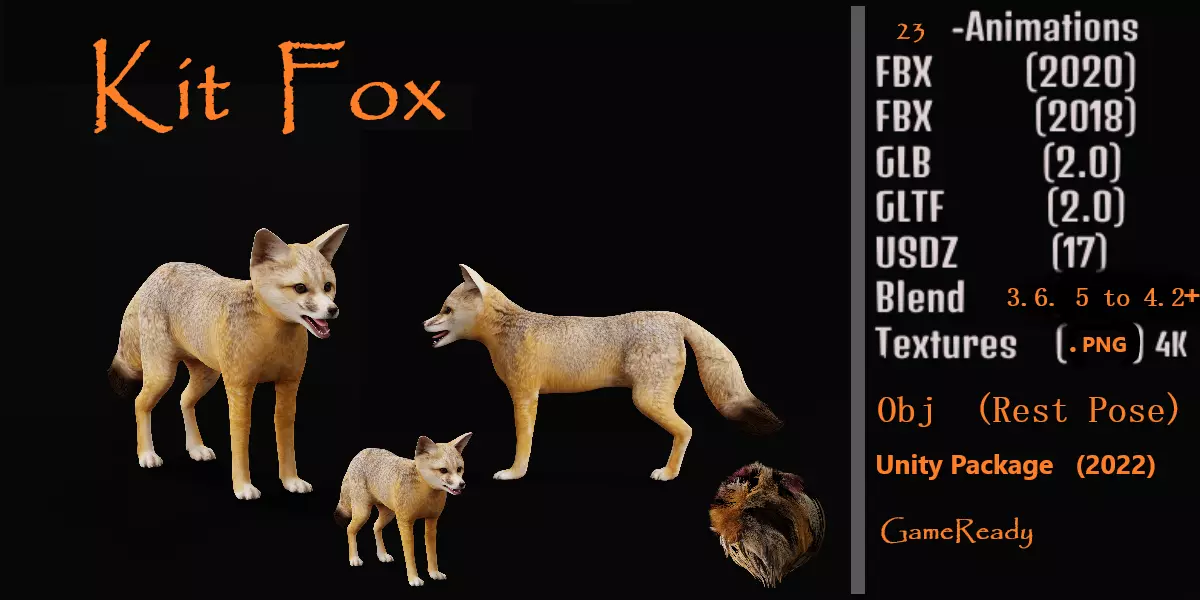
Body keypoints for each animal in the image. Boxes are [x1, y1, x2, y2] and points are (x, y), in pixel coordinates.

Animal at [107, 224, 349, 500]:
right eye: (300, 288)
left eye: (328, 286)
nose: (333, 310)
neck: (273, 342)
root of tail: (161, 269)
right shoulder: (240, 387)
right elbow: (240, 438)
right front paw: (243, 486)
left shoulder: (289, 386)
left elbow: (286, 439)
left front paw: (291, 481)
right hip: (163, 375)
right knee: (140, 403)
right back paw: (147, 454)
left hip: (207, 377)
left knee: (183, 399)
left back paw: (196, 448)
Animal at [334, 433, 472, 586]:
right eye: (443, 470)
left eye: (459, 469)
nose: (462, 484)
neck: (425, 497)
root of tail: (361, 452)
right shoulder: (405, 523)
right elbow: (409, 554)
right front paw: (413, 578)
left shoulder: (432, 521)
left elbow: (432, 553)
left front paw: (434, 573)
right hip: (363, 513)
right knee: (350, 529)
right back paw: (354, 558)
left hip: (388, 515)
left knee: (375, 527)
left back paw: (382, 555)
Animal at [422, 264, 782, 482]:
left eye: (446, 310)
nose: (424, 323)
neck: (510, 329)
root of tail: (673, 317)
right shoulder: (527, 396)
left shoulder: (524, 397)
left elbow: (523, 441)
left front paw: (514, 472)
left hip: (647, 401)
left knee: (687, 430)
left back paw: (668, 473)